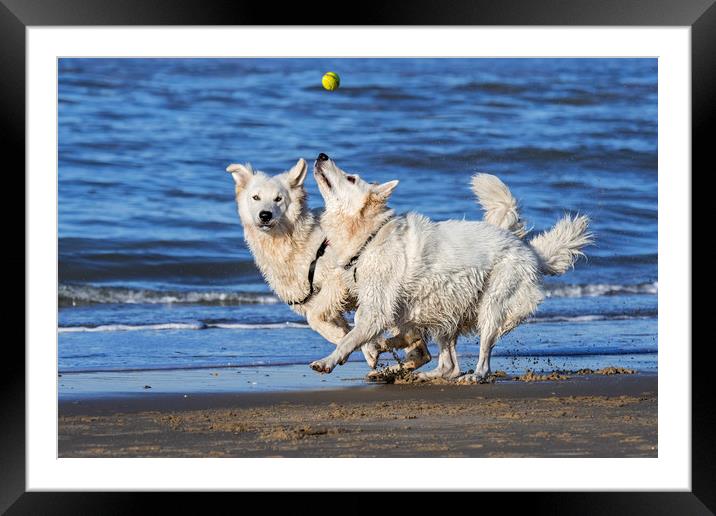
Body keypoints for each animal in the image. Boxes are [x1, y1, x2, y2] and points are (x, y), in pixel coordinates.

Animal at [225, 155, 524, 372]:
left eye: (279, 199)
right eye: (255, 198)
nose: (265, 215)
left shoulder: (340, 286)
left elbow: (327, 322)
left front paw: (358, 351)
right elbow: (337, 327)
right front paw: (366, 347)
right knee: (425, 349)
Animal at [308, 154, 592, 382]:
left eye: (351, 178)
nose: (322, 155)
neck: (370, 235)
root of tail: (528, 249)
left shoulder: (380, 304)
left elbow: (354, 331)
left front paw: (329, 361)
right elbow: (370, 328)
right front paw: (380, 347)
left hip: (492, 303)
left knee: (482, 354)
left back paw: (475, 375)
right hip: (445, 307)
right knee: (449, 366)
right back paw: (417, 375)